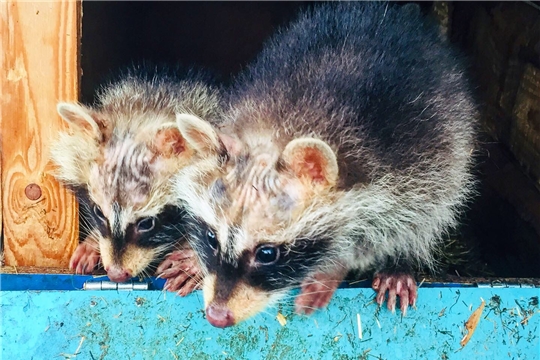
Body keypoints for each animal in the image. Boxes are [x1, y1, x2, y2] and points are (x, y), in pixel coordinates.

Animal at [48, 66, 221, 294]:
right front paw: (94, 240)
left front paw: (195, 261)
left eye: (147, 223)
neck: (156, 102)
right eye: (98, 212)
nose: (115, 275)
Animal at [172, 2, 476, 328]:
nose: (216, 316)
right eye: (212, 238)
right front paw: (195, 257)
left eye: (267, 253)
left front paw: (335, 266)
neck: (282, 129)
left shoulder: (403, 166)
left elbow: (391, 226)